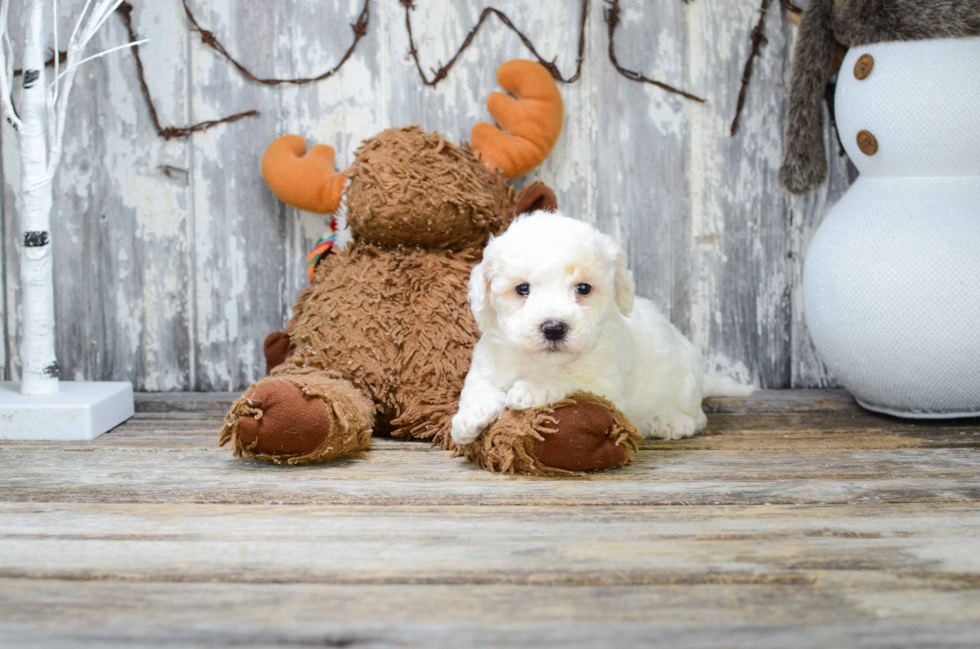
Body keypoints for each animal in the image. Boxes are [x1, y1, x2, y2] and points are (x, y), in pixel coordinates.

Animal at [448, 213, 756, 446]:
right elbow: (477, 386)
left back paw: (670, 422)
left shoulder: (604, 386)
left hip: (685, 386)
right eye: (522, 289)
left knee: (697, 417)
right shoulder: (486, 362)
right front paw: (469, 418)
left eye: (583, 288)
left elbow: (569, 379)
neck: (540, 361)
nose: (554, 328)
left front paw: (533, 389)